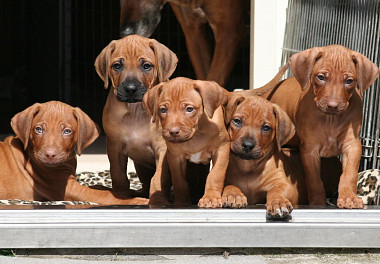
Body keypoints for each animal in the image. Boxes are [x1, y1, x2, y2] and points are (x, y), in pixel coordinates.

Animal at [0, 101, 148, 204]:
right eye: (38, 130)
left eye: (67, 131)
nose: (50, 155)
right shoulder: (67, 188)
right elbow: (104, 195)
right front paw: (136, 201)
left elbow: (100, 187)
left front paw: (131, 193)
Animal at [95, 35, 178, 200]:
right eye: (117, 66)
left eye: (146, 66)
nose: (130, 89)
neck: (136, 110)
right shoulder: (115, 145)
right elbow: (118, 175)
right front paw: (121, 196)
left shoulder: (162, 148)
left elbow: (158, 178)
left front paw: (158, 200)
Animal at [144, 77, 230, 207]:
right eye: (163, 110)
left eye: (189, 109)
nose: (173, 132)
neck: (195, 136)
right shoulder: (175, 157)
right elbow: (179, 181)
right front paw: (182, 202)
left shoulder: (222, 149)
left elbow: (215, 175)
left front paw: (210, 197)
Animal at [262, 44, 380, 208]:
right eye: (321, 77)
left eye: (349, 81)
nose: (333, 106)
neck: (330, 120)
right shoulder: (309, 150)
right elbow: (314, 181)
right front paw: (317, 203)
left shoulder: (352, 145)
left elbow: (349, 174)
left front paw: (348, 197)